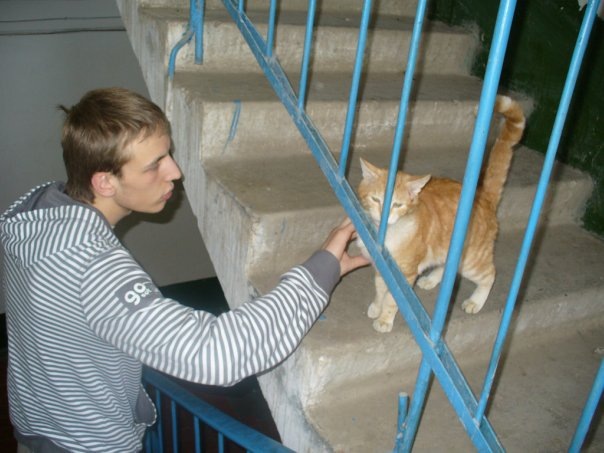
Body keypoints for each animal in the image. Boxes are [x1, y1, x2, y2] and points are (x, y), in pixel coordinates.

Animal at [357, 95, 525, 333]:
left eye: (397, 204)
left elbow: (391, 299)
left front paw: (384, 319)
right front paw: (376, 306)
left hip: (473, 260)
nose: (384, 216)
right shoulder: (383, 267)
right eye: (375, 200)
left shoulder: (405, 272)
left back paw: (476, 301)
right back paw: (432, 279)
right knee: (448, 267)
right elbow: (381, 288)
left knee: (490, 274)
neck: (388, 235)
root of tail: (483, 196)